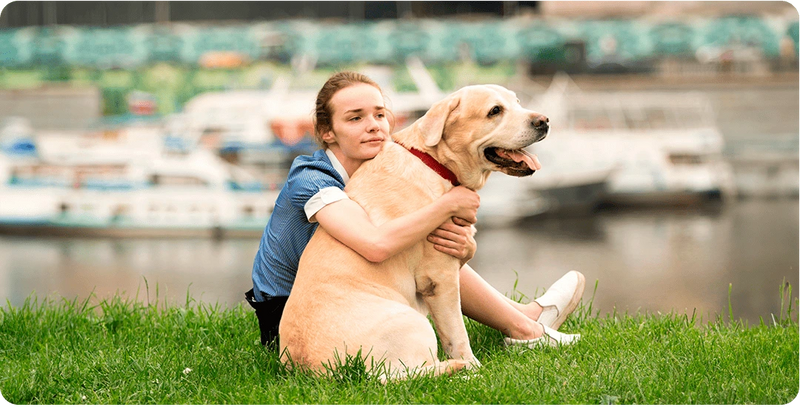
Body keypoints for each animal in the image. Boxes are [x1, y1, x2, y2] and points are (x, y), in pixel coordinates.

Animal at [278, 83, 548, 380]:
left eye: (518, 102)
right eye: (495, 111)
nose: (544, 121)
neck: (434, 162)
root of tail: (326, 372)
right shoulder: (440, 277)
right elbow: (457, 334)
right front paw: (474, 365)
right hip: (412, 323)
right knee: (410, 374)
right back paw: (463, 371)